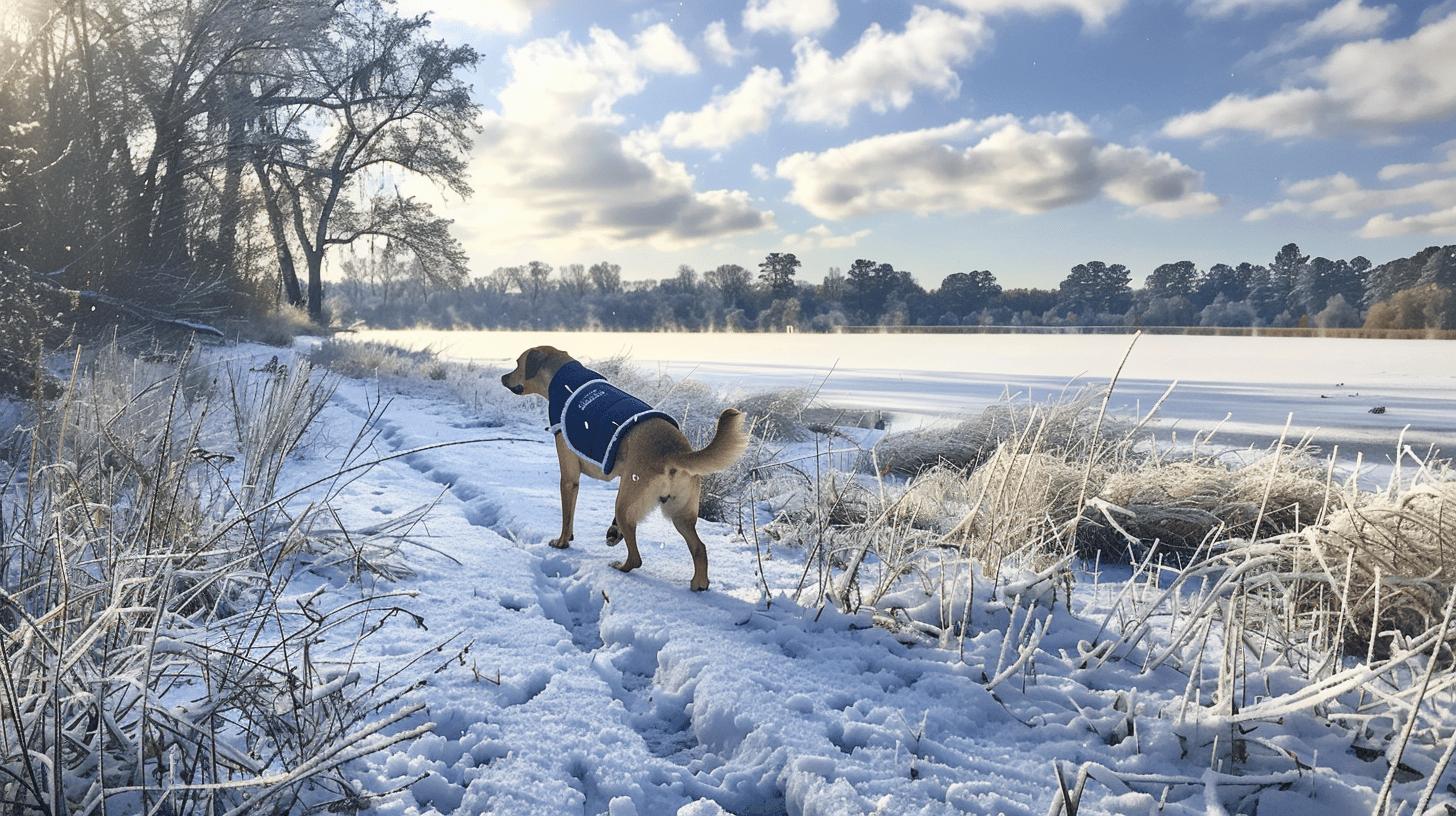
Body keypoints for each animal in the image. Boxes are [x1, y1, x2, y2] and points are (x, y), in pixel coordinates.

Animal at [503, 346, 751, 588]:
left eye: (517, 364)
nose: (503, 377)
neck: (563, 378)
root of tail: (675, 452)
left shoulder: (569, 477)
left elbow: (567, 517)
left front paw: (562, 542)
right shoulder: (623, 478)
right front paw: (613, 532)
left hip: (627, 503)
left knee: (636, 557)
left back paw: (621, 566)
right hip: (679, 513)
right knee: (699, 548)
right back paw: (699, 583)